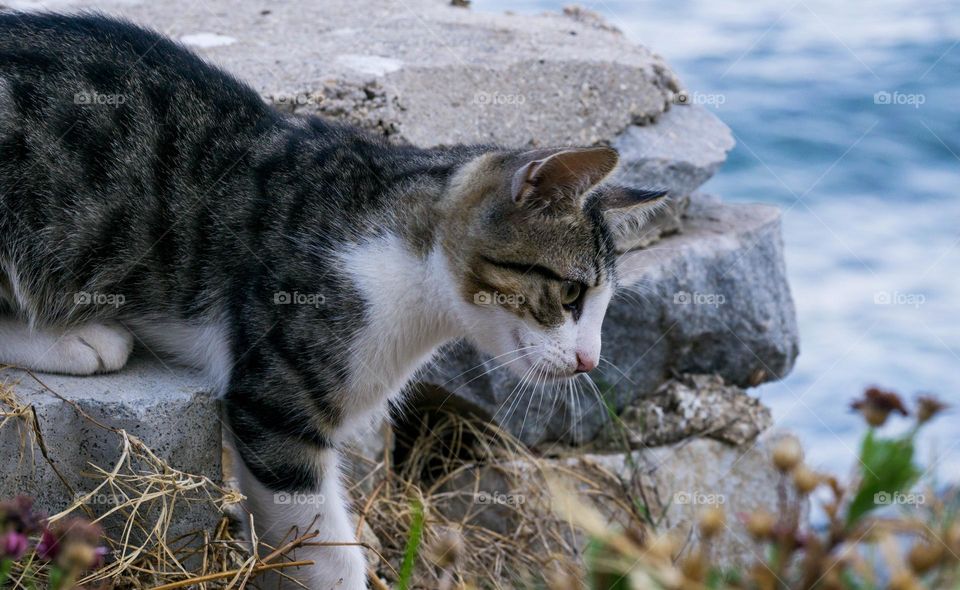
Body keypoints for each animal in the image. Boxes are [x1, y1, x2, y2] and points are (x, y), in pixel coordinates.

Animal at [0, 10, 668, 590]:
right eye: (572, 293)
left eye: (603, 303)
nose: (588, 361)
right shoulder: (274, 398)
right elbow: (326, 549)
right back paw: (80, 338)